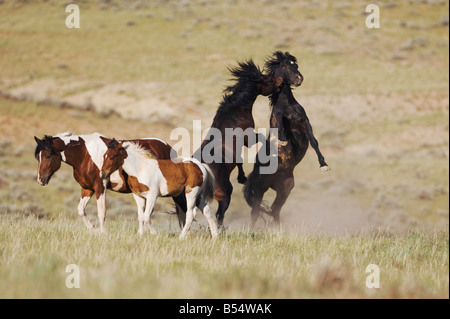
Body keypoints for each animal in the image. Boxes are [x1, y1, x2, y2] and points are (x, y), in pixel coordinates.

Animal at [33, 132, 183, 232]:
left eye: (48, 155)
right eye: (37, 157)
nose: (40, 180)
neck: (84, 154)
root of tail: (169, 147)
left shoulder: (100, 187)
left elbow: (101, 212)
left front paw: (102, 232)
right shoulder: (87, 188)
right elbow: (81, 210)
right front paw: (92, 229)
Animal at [175, 60, 282, 229]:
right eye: (269, 80)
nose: (280, 80)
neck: (235, 111)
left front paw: (242, 177)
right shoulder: (248, 138)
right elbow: (259, 140)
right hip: (224, 194)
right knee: (220, 214)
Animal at [243, 51, 330, 226]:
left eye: (295, 65)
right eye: (284, 66)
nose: (299, 78)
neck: (288, 106)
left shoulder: (304, 122)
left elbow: (314, 141)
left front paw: (323, 165)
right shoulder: (278, 119)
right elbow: (280, 126)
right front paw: (283, 140)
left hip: (285, 188)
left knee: (275, 210)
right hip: (260, 188)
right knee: (255, 211)